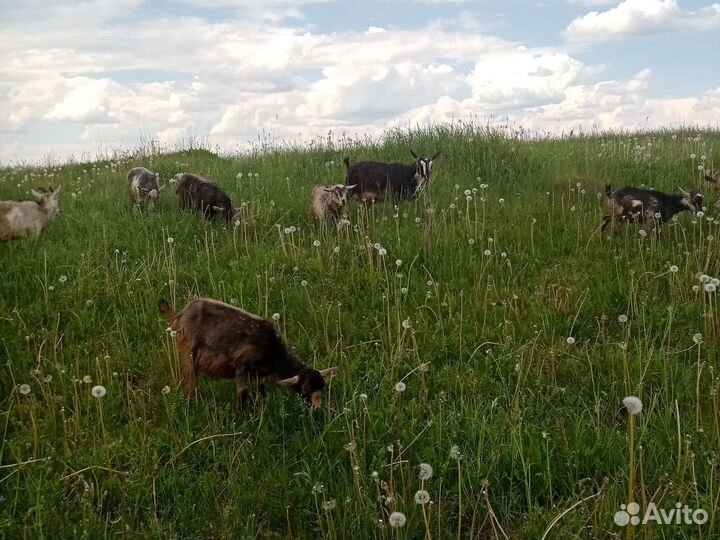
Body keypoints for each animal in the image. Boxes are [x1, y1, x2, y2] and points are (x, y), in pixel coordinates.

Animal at [159, 298, 339, 411]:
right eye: (306, 389)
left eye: (322, 386)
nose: (316, 409)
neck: (274, 351)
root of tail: (181, 313)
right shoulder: (242, 367)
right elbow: (242, 396)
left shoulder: (260, 375)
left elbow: (261, 393)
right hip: (188, 349)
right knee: (189, 378)